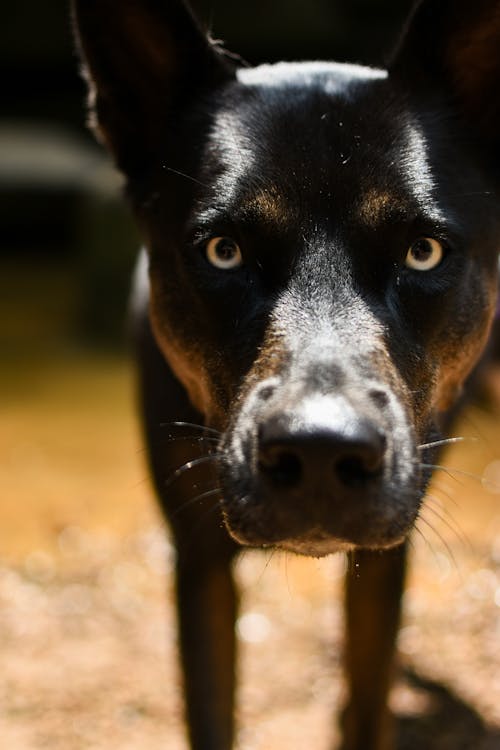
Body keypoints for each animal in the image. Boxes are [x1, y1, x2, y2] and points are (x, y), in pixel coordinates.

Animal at [71, 1, 500, 750]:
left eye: (422, 252)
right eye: (224, 251)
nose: (320, 453)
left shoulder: (383, 556)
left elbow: (367, 700)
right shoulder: (199, 556)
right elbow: (212, 711)